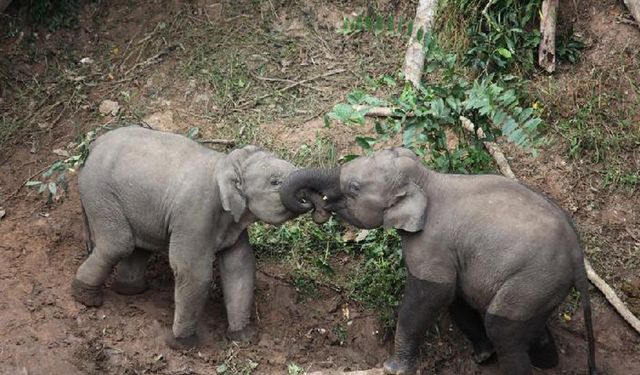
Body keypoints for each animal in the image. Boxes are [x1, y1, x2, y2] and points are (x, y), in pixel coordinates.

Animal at [72, 125, 298, 350]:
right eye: (275, 182)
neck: (224, 162)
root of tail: (94, 144)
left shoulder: (233, 223)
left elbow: (239, 267)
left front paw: (242, 336)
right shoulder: (195, 214)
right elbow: (193, 272)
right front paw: (182, 345)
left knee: (139, 247)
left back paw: (130, 291)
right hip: (100, 193)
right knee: (119, 244)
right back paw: (86, 299)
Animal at [278, 148, 596, 375]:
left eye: (354, 187)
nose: (314, 205)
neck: (427, 178)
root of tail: (577, 255)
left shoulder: (432, 243)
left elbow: (431, 294)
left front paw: (392, 368)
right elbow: (456, 296)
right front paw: (483, 357)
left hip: (533, 278)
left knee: (503, 328)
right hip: (541, 287)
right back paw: (546, 363)